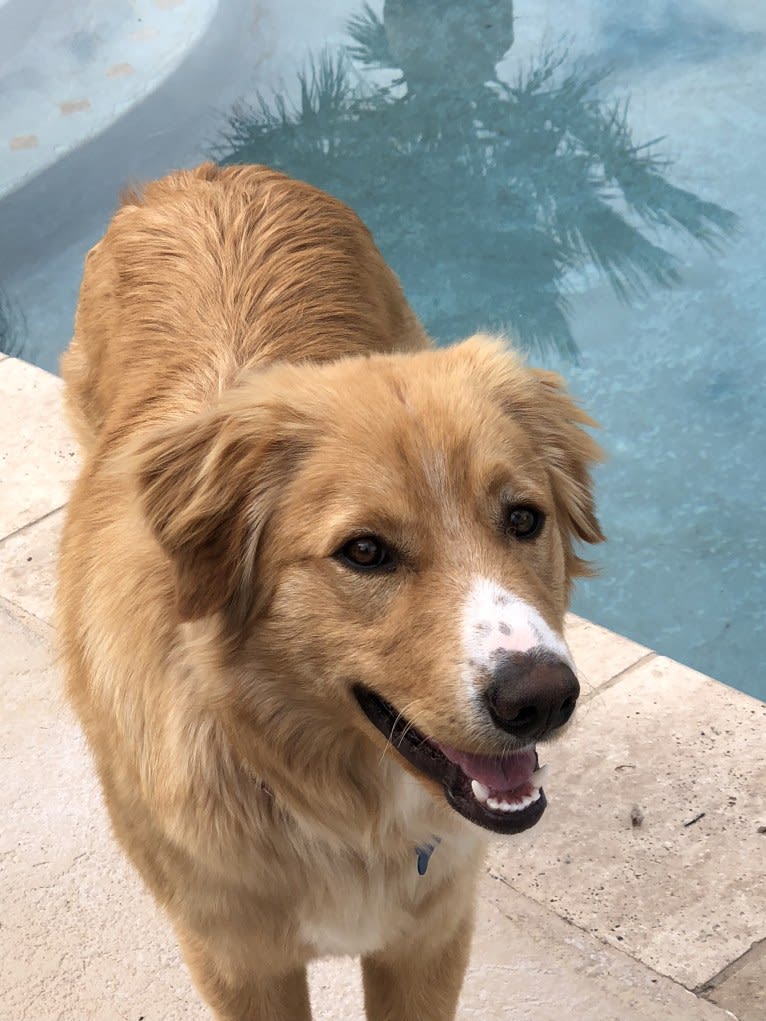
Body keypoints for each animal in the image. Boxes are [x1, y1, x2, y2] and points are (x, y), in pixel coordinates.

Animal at [56, 163, 604, 1016]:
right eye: (365, 551)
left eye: (523, 518)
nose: (543, 699)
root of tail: (202, 175)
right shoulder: (239, 963)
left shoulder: (429, 938)